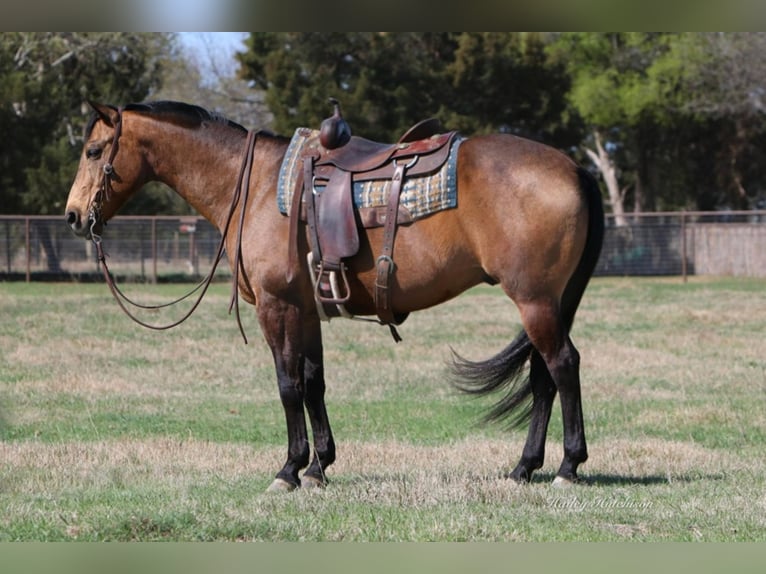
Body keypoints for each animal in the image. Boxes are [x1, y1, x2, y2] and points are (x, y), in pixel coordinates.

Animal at [64, 101, 608, 492]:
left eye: (93, 151)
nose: (71, 215)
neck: (257, 188)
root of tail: (574, 168)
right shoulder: (306, 310)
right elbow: (313, 382)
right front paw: (318, 466)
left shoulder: (277, 307)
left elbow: (287, 386)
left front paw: (288, 470)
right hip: (550, 302)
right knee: (542, 376)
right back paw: (524, 468)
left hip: (535, 301)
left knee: (562, 366)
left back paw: (567, 466)